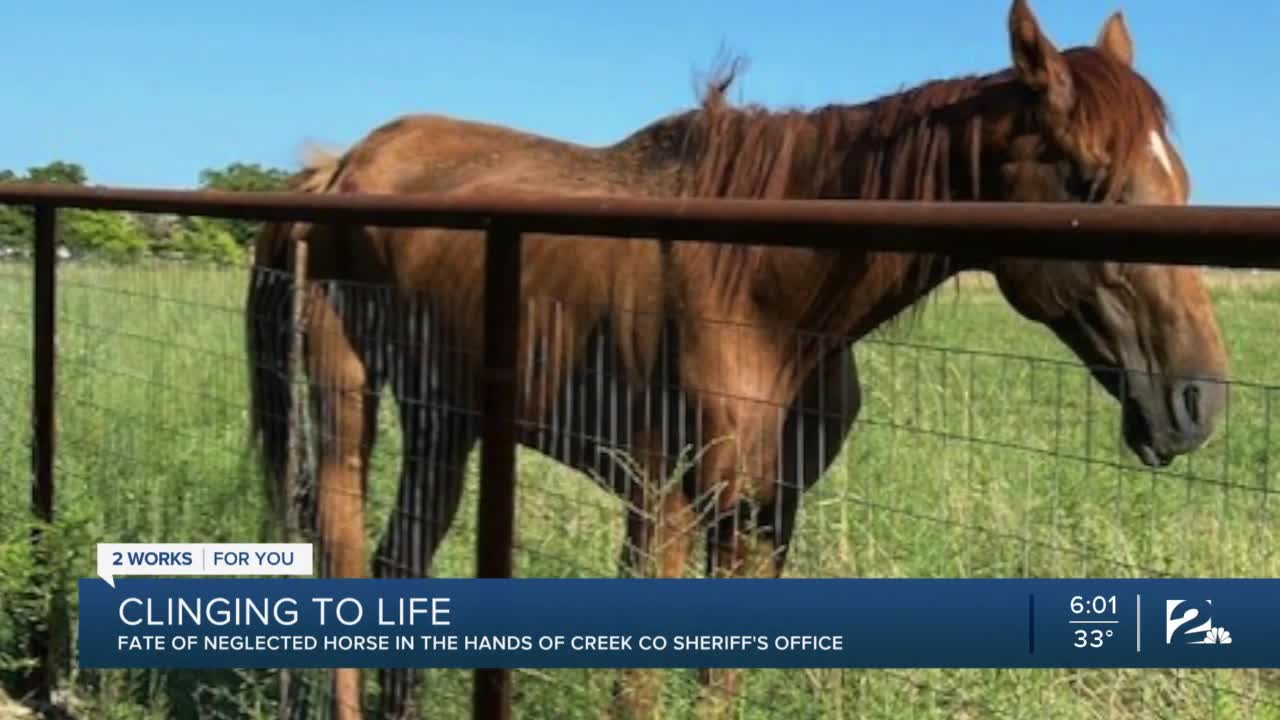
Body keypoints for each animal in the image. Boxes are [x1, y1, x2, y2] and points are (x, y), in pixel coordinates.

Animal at [241, 2, 1228, 712]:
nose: (1197, 402)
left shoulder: (763, 516)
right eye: (1089, 180)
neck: (760, 291)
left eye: (1182, 181)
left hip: (443, 419)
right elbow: (637, 693)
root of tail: (339, 167)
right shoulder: (662, 509)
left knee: (401, 565)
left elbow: (718, 687)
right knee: (345, 561)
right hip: (347, 406)